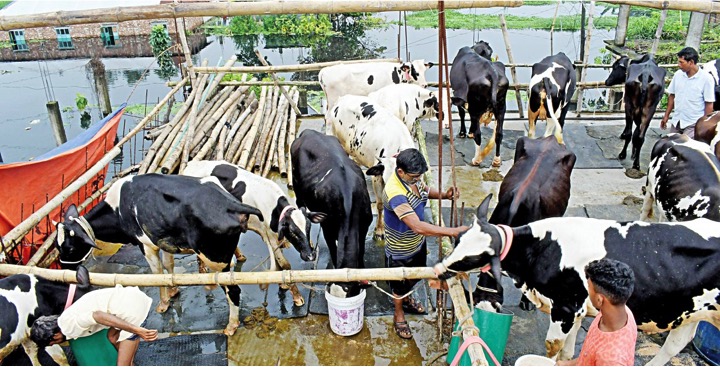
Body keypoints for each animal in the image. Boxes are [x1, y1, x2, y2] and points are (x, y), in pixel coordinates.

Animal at [54, 174, 264, 338]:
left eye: (69, 248)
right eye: (57, 245)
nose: (65, 269)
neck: (118, 209)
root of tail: (230, 203)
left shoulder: (146, 245)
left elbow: (157, 274)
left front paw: (163, 304)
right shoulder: (164, 240)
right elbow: (168, 266)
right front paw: (173, 291)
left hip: (216, 260)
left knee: (233, 290)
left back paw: (231, 326)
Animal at [292, 130, 374, 300]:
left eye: (351, 293)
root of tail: (309, 132)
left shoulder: (364, 226)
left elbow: (361, 250)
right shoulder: (327, 228)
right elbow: (333, 249)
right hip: (297, 188)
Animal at [434, 194, 720, 366]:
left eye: (472, 258)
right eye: (458, 239)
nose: (439, 269)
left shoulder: (565, 307)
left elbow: (553, 346)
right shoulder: (577, 309)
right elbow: (568, 351)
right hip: (690, 312)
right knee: (675, 344)